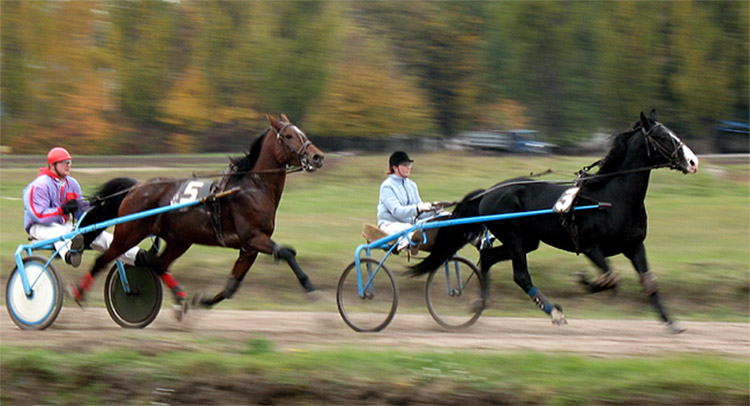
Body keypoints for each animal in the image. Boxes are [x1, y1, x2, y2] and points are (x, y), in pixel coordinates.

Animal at [70, 113, 326, 310]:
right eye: (289, 136)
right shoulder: (252, 237)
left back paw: (180, 301)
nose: (318, 156)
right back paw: (79, 293)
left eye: (302, 133)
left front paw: (203, 301)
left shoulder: (249, 248)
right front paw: (310, 288)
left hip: (179, 240)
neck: (252, 187)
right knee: (104, 259)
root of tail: (136, 186)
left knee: (157, 264)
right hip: (129, 233)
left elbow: (232, 286)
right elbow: (286, 253)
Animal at [412, 111, 700, 334]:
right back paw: (553, 312)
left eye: (672, 132)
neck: (612, 197)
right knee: (520, 275)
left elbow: (648, 282)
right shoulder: (590, 247)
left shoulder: (634, 246)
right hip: (515, 237)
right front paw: (585, 281)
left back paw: (481, 301)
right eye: (662, 136)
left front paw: (672, 323)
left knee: (488, 257)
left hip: (528, 241)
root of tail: (489, 192)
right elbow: (610, 277)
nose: (693, 161)